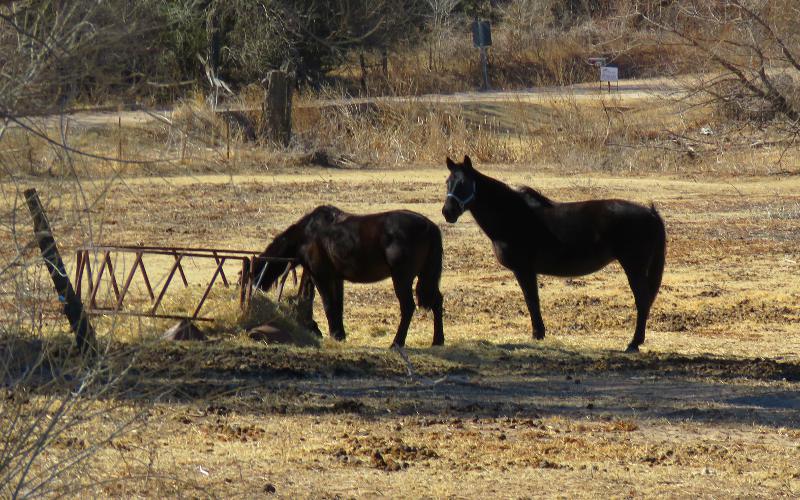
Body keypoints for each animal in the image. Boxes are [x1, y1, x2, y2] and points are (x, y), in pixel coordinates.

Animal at [253, 204, 444, 348]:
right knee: (437, 302)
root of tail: (429, 226)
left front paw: (334, 334)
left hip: (402, 278)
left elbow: (328, 304)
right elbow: (335, 305)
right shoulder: (336, 278)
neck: (307, 235)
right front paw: (338, 335)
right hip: (426, 276)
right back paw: (438, 341)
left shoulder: (321, 276)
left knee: (408, 307)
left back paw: (397, 343)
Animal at [440, 155, 664, 352]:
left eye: (464, 183)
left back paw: (633, 344)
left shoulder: (524, 269)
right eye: (448, 182)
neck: (513, 216)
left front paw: (537, 334)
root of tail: (650, 213)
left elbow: (531, 300)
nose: (448, 212)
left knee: (642, 301)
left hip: (634, 268)